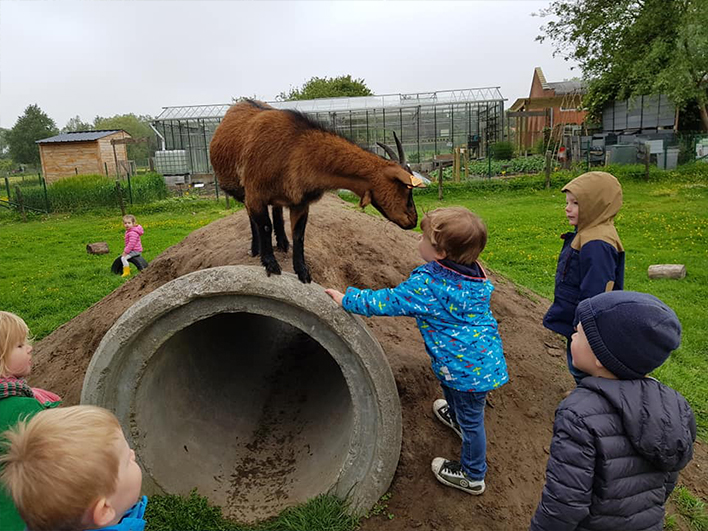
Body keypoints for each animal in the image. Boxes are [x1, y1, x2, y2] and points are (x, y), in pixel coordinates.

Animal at [207, 98, 424, 284]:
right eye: (405, 188)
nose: (413, 220)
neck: (296, 149)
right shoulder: (255, 193)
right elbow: (264, 226)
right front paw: (270, 264)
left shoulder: (301, 202)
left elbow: (299, 235)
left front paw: (303, 272)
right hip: (242, 190)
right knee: (253, 217)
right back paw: (256, 248)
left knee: (276, 211)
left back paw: (283, 243)